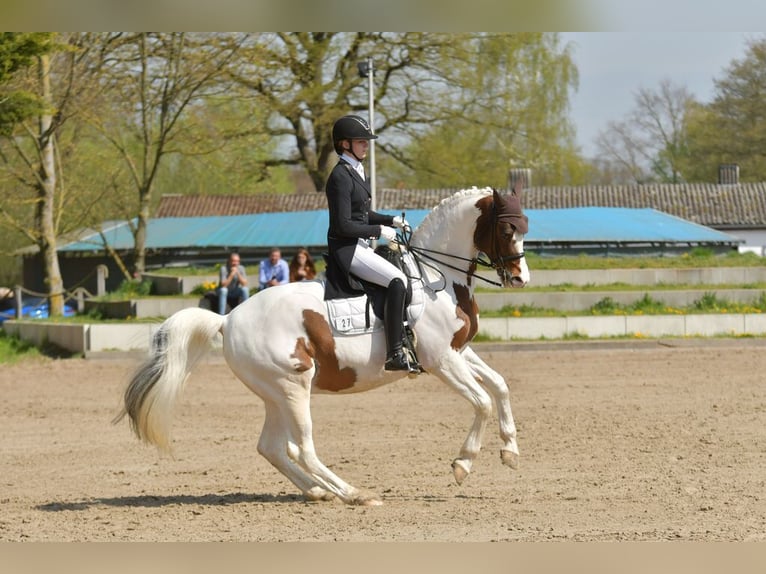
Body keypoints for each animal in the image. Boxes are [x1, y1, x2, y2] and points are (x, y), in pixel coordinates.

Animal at [114, 184, 530, 506]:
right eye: (506, 228)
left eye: (525, 227)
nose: (520, 279)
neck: (434, 277)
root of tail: (227, 320)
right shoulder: (441, 359)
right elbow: (482, 401)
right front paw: (463, 464)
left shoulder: (458, 352)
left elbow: (500, 385)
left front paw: (510, 451)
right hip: (294, 387)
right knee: (303, 448)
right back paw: (353, 493)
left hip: (277, 393)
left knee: (272, 447)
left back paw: (318, 492)